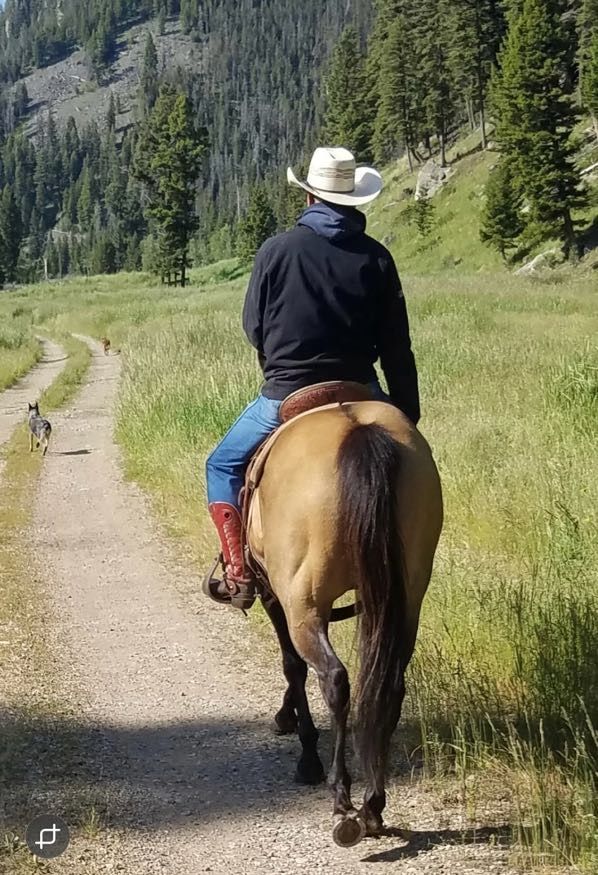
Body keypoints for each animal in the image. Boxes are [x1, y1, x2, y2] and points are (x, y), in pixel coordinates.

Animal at [247, 398, 443, 848]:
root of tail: (358, 431)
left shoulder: (275, 595)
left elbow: (292, 665)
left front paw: (303, 747)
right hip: (404, 599)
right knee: (389, 687)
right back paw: (373, 805)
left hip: (304, 603)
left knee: (333, 679)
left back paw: (341, 800)